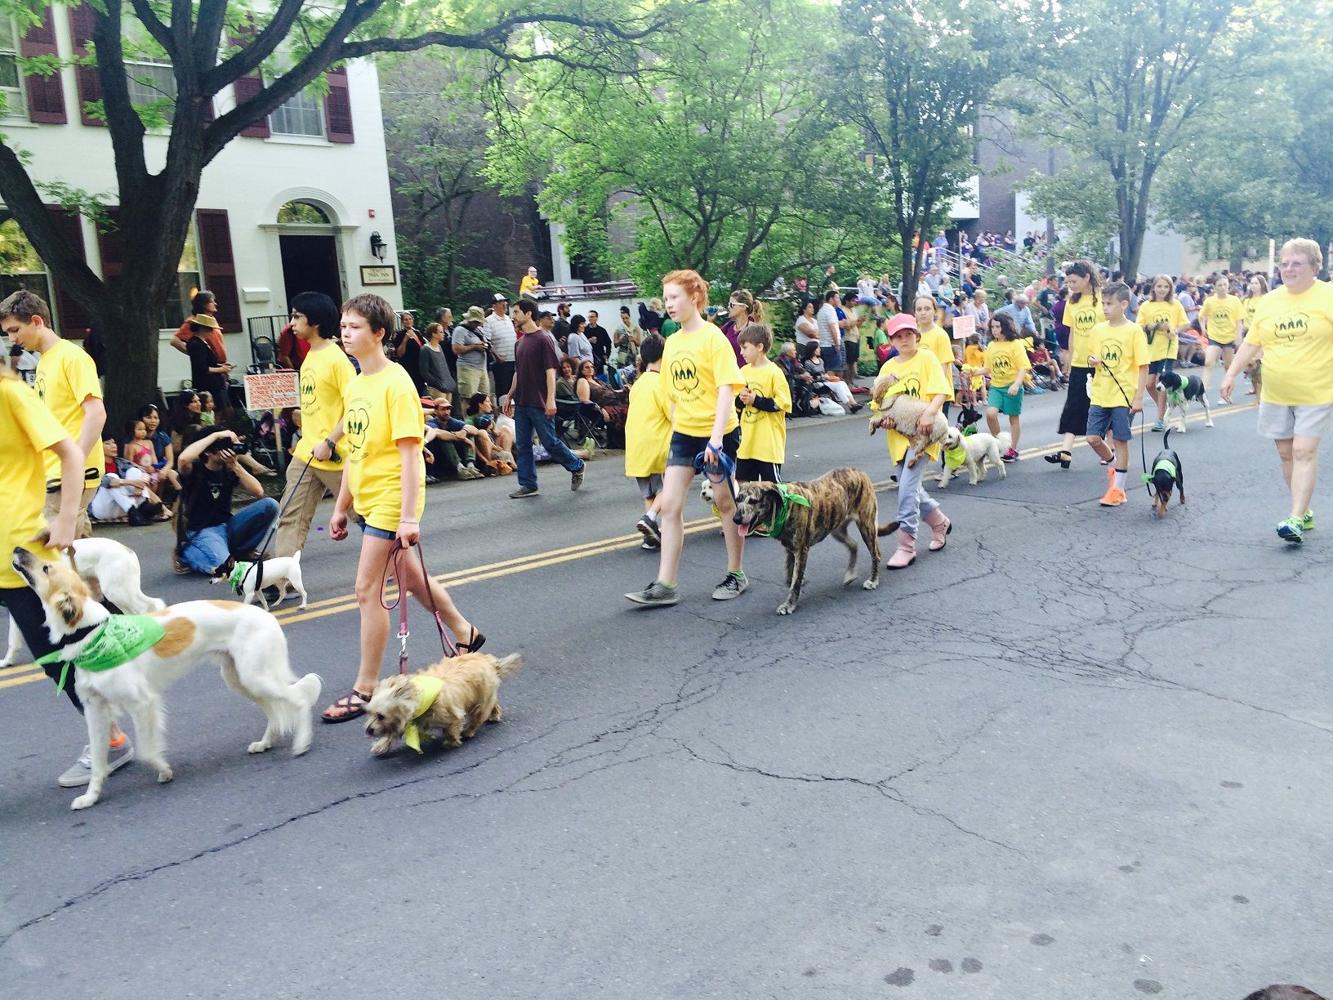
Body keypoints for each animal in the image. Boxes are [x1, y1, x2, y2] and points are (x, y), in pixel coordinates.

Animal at [11, 544, 321, 810]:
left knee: (300, 698)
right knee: (274, 712)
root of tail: (267, 616)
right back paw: (265, 743)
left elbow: (147, 750)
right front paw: (90, 797)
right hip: (242, 680)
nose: (16, 549)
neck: (92, 633)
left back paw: (302, 743)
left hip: (257, 677)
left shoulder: (142, 702)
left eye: (47, 567)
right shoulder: (95, 709)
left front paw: (164, 770)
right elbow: (99, 762)